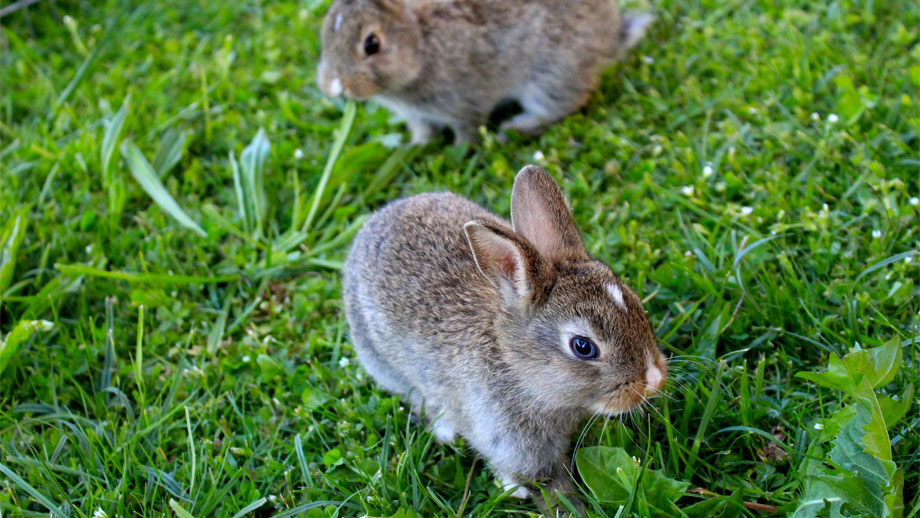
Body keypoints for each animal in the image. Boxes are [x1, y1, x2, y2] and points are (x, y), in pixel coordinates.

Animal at [316, 0, 652, 144]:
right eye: (325, 34)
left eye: (371, 44)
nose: (332, 87)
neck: (421, 48)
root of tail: (610, 36)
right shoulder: (417, 115)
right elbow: (423, 130)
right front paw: (415, 146)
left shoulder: (464, 104)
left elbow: (467, 131)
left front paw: (459, 151)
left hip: (550, 76)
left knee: (561, 104)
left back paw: (515, 128)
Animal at [342, 165, 668, 508]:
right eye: (583, 347)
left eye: (635, 302)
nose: (654, 379)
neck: (516, 365)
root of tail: (370, 226)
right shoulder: (512, 442)